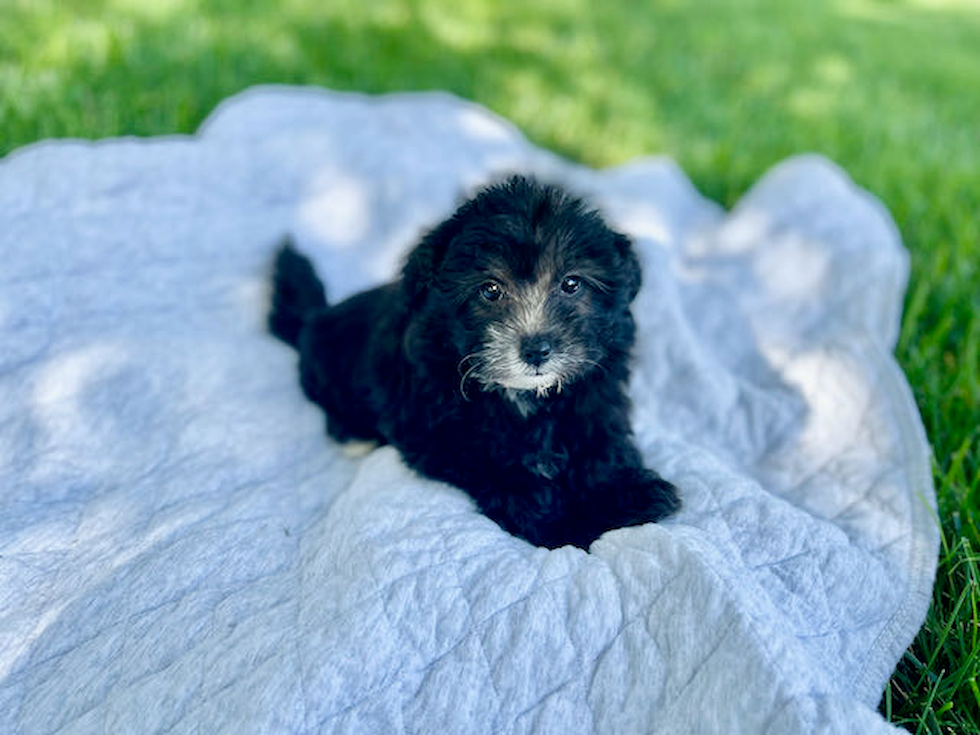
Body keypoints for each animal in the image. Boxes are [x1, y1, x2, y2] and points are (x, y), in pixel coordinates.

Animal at [270, 175, 680, 548]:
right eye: (491, 290)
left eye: (571, 283)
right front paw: (561, 523)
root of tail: (315, 318)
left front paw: (627, 493)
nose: (537, 349)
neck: (523, 395)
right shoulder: (438, 427)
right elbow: (498, 463)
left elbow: (600, 441)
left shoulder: (596, 391)